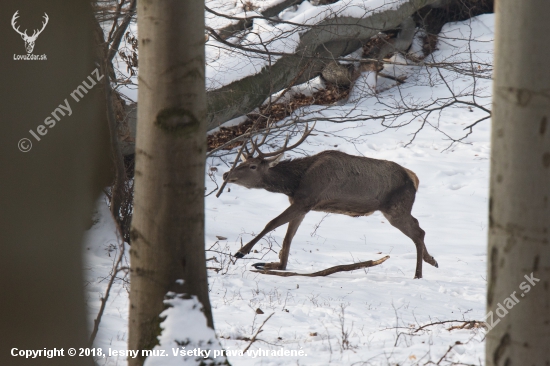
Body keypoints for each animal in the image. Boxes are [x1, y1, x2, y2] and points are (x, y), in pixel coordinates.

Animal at [222, 127, 442, 278]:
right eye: (242, 162)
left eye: (252, 166)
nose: (226, 174)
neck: (296, 182)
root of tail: (413, 178)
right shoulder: (303, 205)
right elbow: (288, 237)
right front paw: (276, 265)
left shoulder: (306, 200)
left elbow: (272, 223)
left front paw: (242, 251)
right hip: (398, 209)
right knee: (419, 228)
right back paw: (431, 260)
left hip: (395, 208)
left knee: (418, 232)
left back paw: (418, 274)